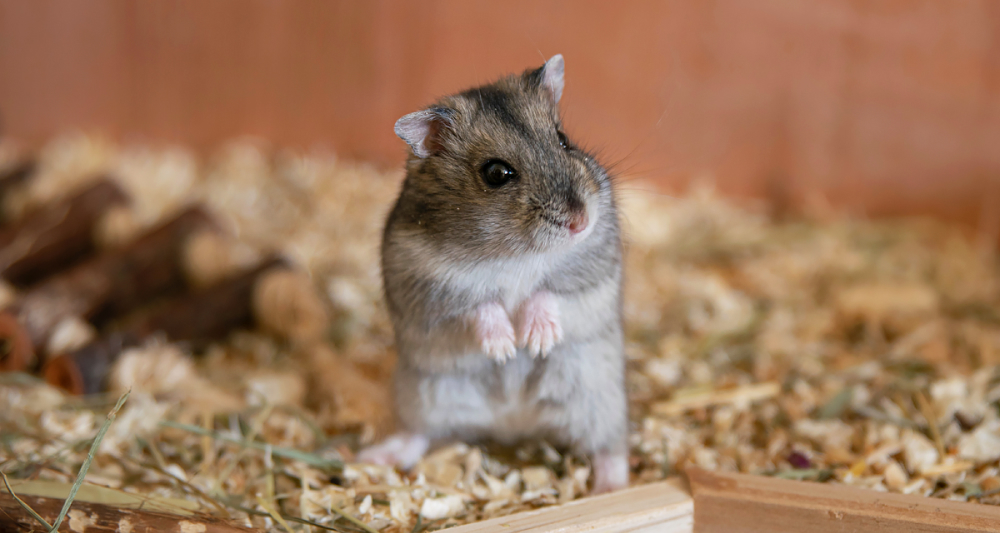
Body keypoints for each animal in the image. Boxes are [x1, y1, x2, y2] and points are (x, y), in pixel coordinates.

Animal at [358, 54, 628, 494]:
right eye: (496, 173)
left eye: (563, 139)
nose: (580, 222)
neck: (515, 252)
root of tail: (512, 424)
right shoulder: (429, 287)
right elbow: (479, 305)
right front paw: (504, 348)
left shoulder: (593, 270)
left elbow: (549, 292)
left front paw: (535, 341)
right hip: (424, 395)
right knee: (418, 434)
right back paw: (373, 457)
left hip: (600, 398)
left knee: (610, 448)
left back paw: (611, 488)